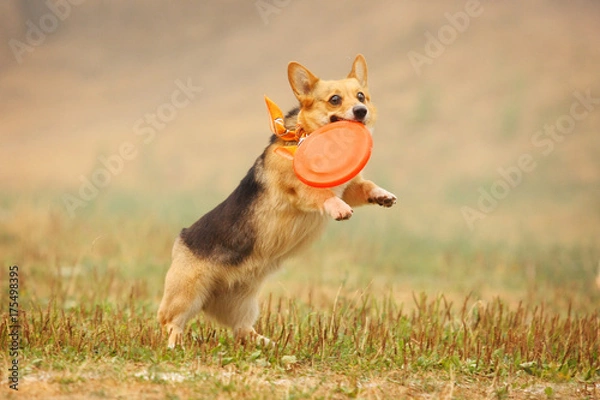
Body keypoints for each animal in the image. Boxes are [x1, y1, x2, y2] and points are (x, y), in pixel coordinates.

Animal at [157, 53, 396, 346]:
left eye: (361, 96)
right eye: (335, 99)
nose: (361, 111)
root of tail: (181, 238)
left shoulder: (349, 186)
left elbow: (364, 186)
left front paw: (382, 195)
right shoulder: (301, 191)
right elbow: (323, 195)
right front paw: (338, 208)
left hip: (244, 301)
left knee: (242, 330)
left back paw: (268, 343)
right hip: (186, 292)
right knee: (169, 320)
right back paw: (175, 343)